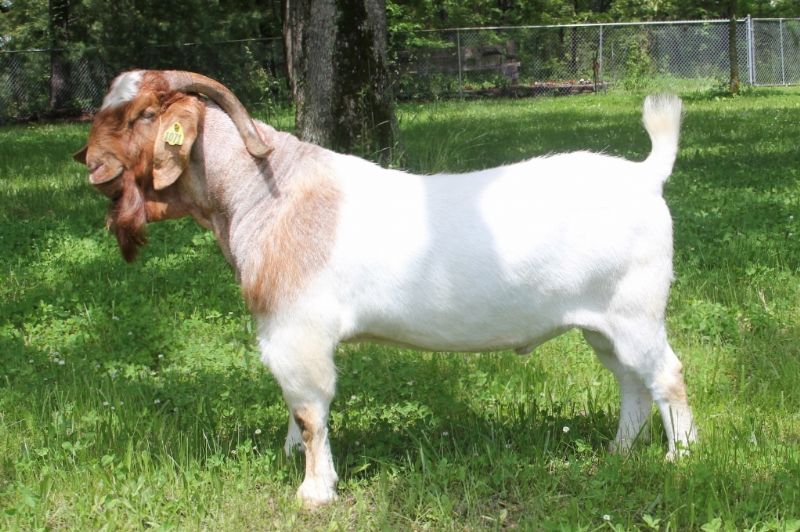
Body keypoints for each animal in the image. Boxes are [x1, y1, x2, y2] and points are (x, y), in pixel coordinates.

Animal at [78, 70, 696, 508]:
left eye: (146, 114)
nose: (89, 162)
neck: (269, 193)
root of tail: (647, 175)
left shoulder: (297, 332)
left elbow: (310, 409)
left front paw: (314, 492)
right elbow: (295, 409)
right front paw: (296, 460)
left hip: (636, 313)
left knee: (666, 375)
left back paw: (681, 458)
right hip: (601, 326)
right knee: (632, 384)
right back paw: (618, 451)